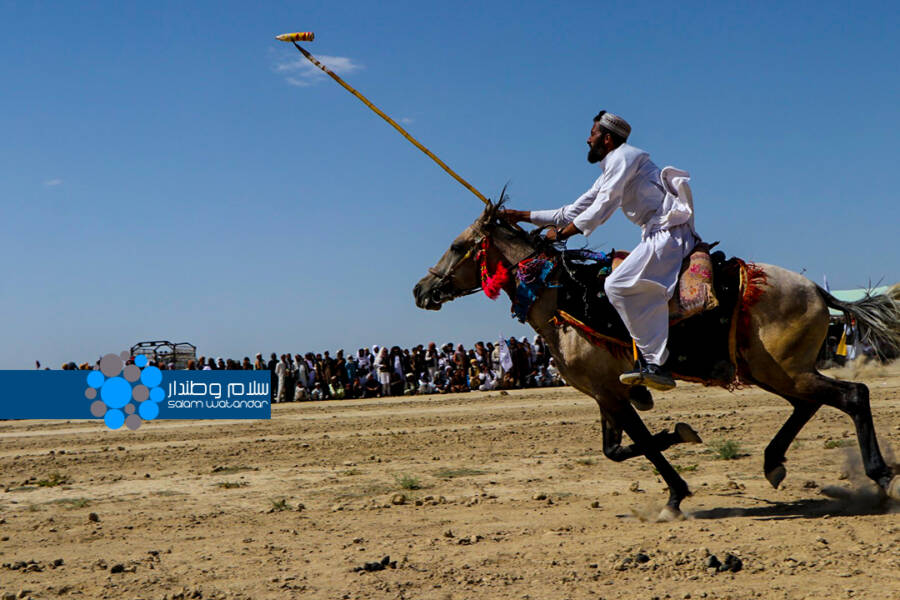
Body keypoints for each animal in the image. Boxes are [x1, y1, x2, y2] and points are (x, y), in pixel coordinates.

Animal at [414, 202, 900, 520]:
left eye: (457, 246)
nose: (421, 289)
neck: (564, 297)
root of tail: (817, 292)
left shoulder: (611, 391)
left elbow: (642, 444)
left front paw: (675, 495)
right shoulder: (603, 392)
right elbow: (615, 450)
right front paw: (680, 436)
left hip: (782, 371)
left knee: (853, 395)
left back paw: (878, 477)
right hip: (775, 372)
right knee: (809, 403)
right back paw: (773, 462)